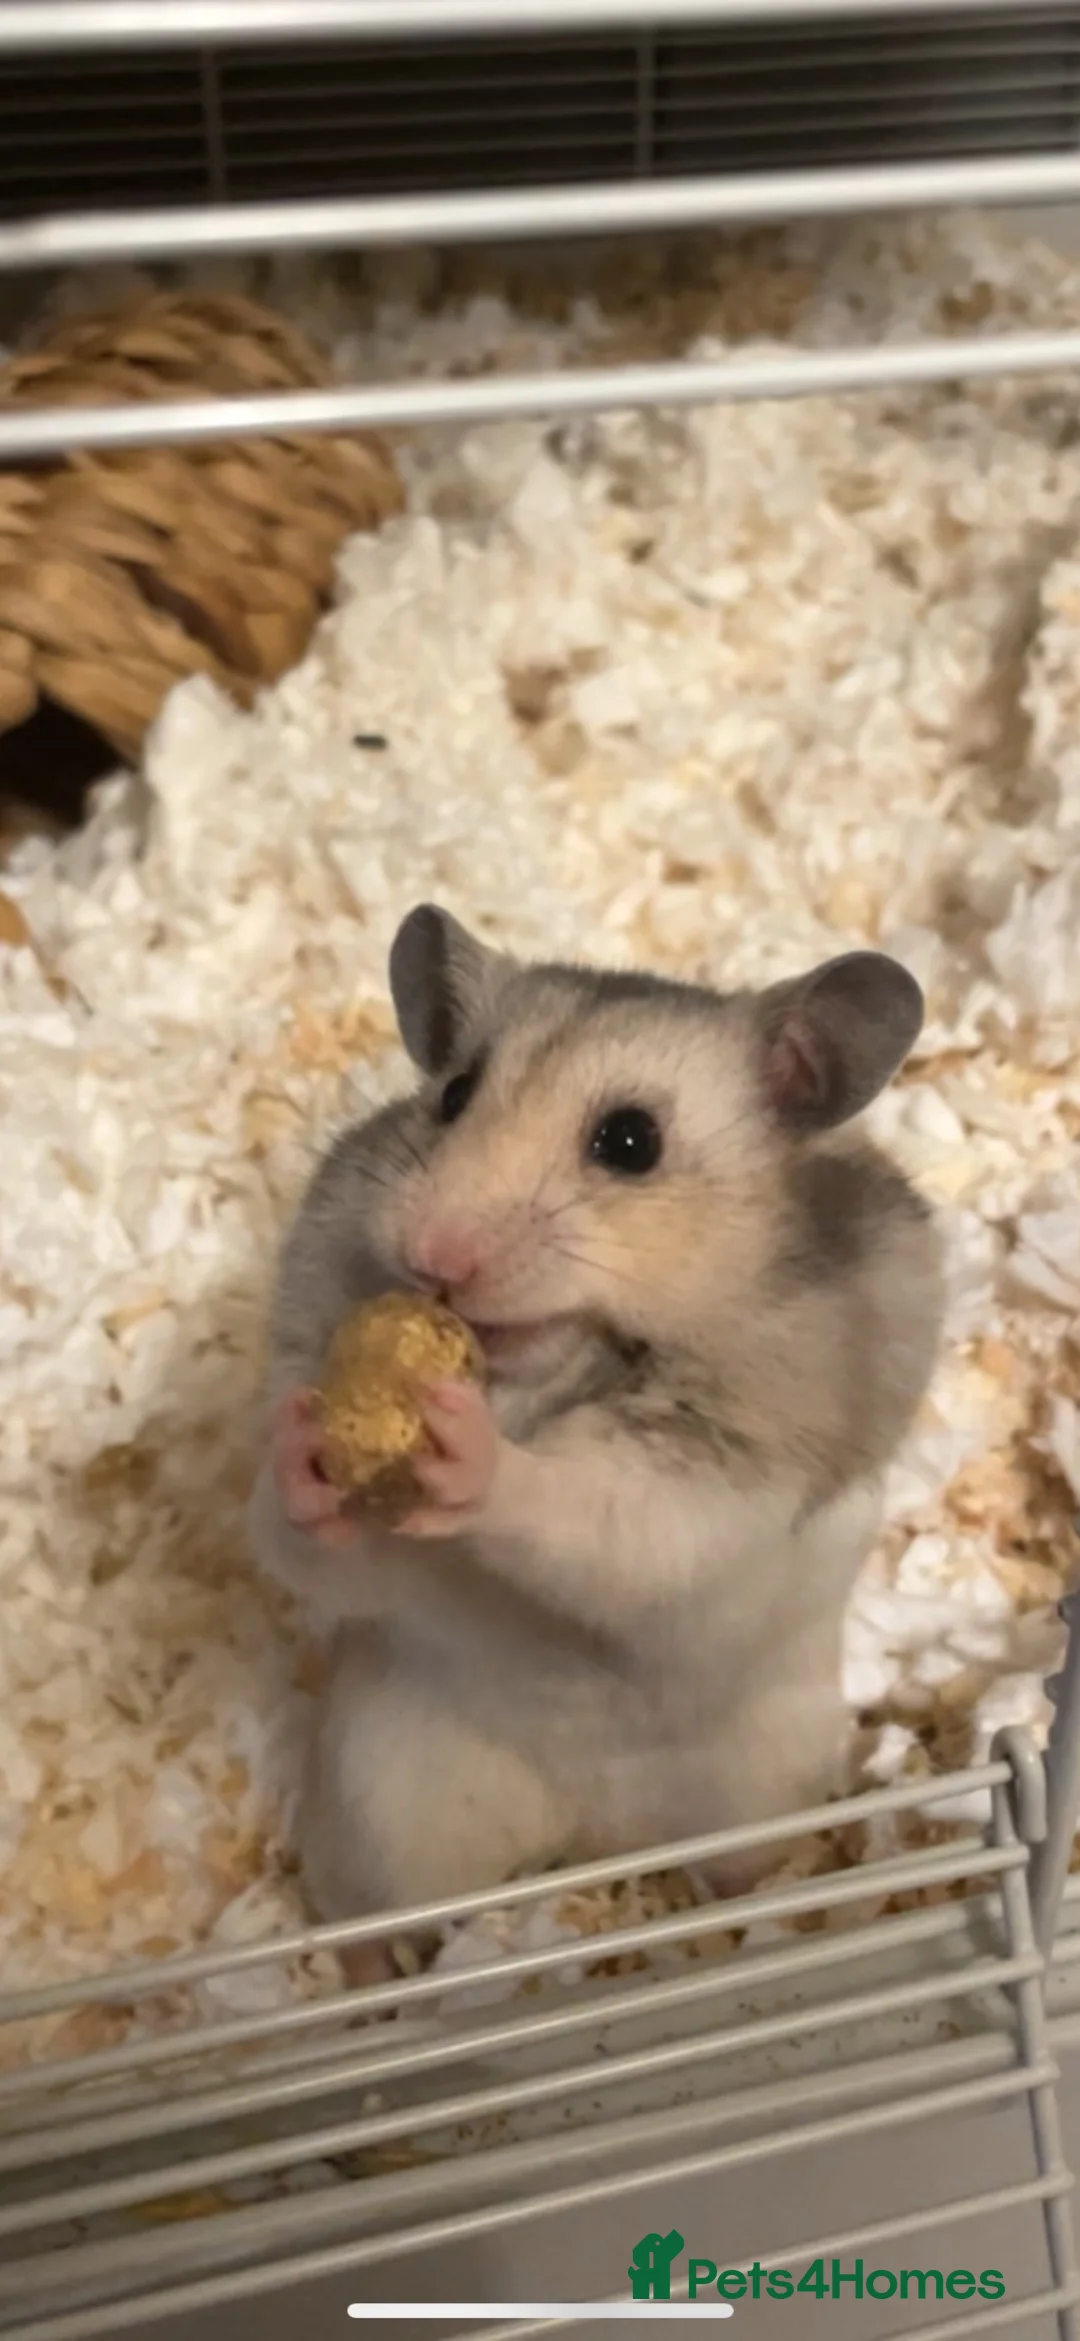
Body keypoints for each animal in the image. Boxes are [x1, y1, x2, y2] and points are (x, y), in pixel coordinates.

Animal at [249, 905, 943, 1973]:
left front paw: (465, 1448)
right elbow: (312, 1543)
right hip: (384, 1794)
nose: (433, 1259)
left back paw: (749, 1921)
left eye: (630, 1140)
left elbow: (597, 1514)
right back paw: (377, 1977)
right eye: (453, 1094)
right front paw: (306, 1442)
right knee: (378, 1913)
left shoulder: (710, 1476)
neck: (534, 1379)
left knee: (742, 1866)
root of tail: (592, 1837)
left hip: (764, 1782)